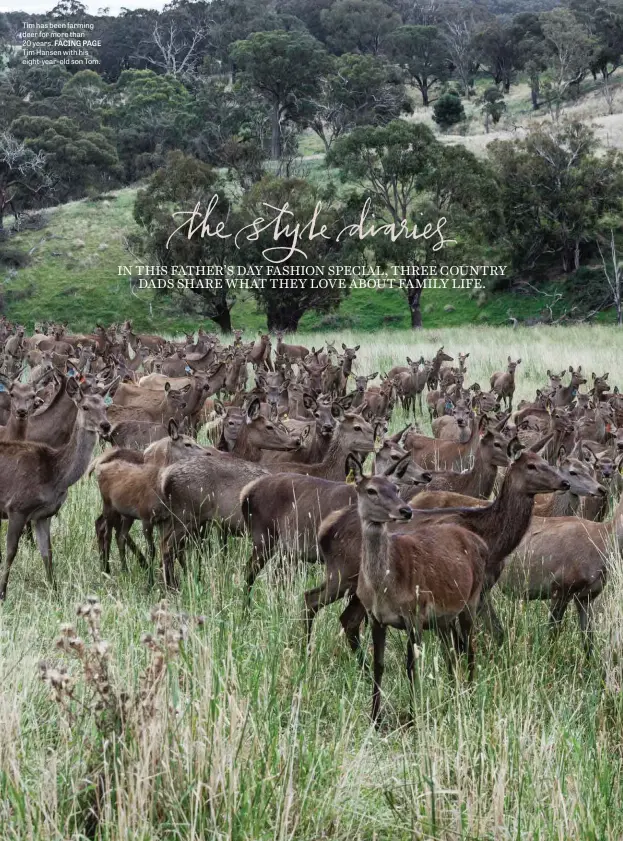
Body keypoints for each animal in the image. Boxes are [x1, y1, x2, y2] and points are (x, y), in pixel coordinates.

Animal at [0, 378, 112, 600]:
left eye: (106, 407)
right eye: (85, 407)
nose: (105, 425)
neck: (55, 475)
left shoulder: (44, 515)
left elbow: (47, 553)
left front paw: (55, 591)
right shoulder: (16, 507)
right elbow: (10, 552)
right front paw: (2, 593)